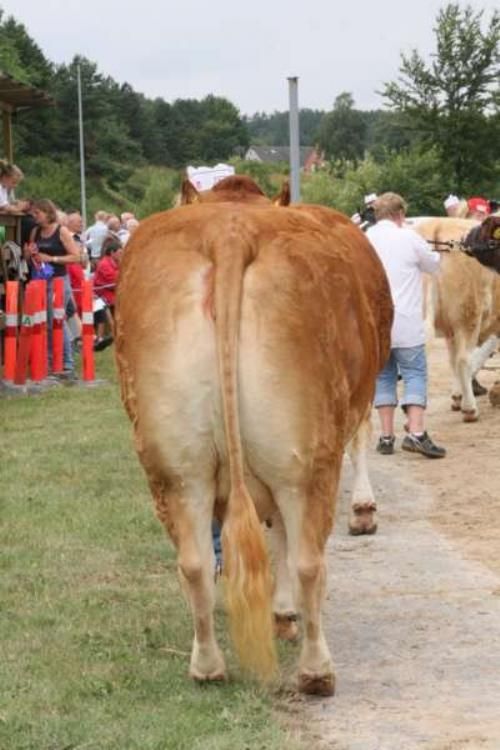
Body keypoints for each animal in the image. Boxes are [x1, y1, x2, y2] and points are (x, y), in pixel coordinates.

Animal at [115, 178, 392, 700]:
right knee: (307, 559)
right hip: (305, 459)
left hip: (175, 465)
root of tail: (230, 232)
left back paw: (207, 666)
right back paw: (316, 670)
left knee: (195, 562)